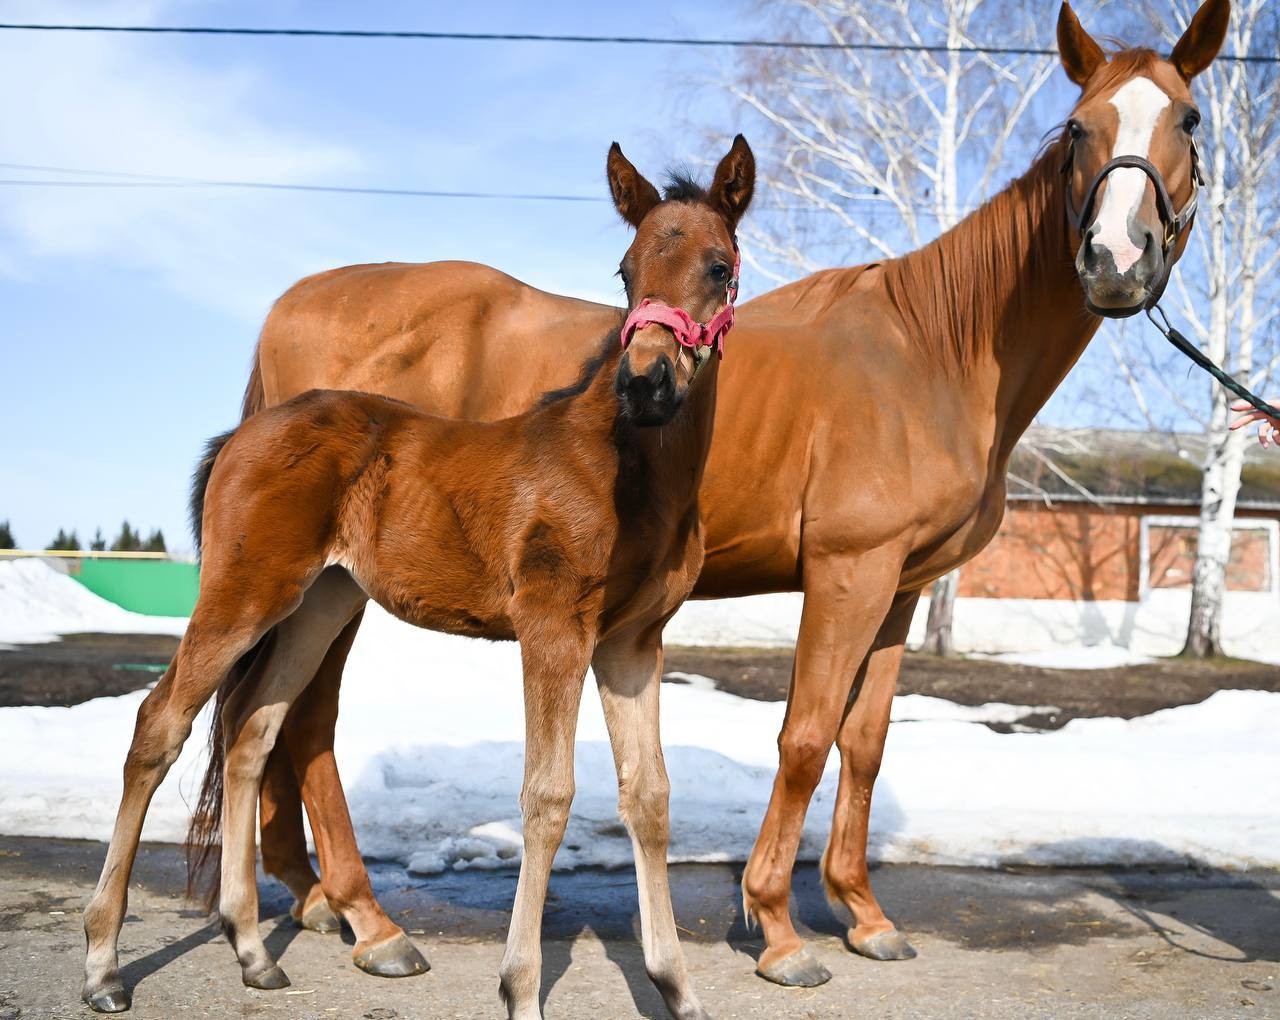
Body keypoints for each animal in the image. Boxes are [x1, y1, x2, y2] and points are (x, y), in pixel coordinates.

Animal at [82, 137, 747, 1018]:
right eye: (627, 269)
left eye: (717, 265)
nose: (645, 382)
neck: (628, 472)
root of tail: (241, 433)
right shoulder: (553, 630)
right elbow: (547, 796)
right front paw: (520, 988)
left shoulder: (632, 645)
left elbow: (650, 798)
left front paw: (676, 988)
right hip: (245, 590)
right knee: (161, 724)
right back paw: (103, 964)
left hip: (319, 602)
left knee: (253, 730)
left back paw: (254, 951)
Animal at [192, 0, 1228, 993]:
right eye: (1081, 126)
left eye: (1188, 117)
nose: (1116, 260)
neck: (933, 349)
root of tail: (292, 309)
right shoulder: (848, 570)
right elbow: (806, 736)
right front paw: (777, 927)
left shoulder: (899, 586)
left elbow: (865, 741)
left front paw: (863, 914)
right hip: (326, 581)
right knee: (305, 724)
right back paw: (368, 920)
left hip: (331, 583)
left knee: (278, 724)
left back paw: (316, 901)